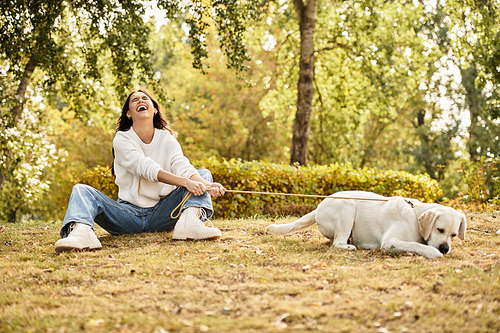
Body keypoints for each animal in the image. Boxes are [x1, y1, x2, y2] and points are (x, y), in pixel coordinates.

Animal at [268, 191, 466, 258]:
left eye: (453, 235)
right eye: (439, 229)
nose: (444, 248)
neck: (414, 214)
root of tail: (318, 207)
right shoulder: (389, 241)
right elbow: (415, 245)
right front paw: (432, 252)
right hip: (347, 206)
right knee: (337, 243)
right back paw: (350, 246)